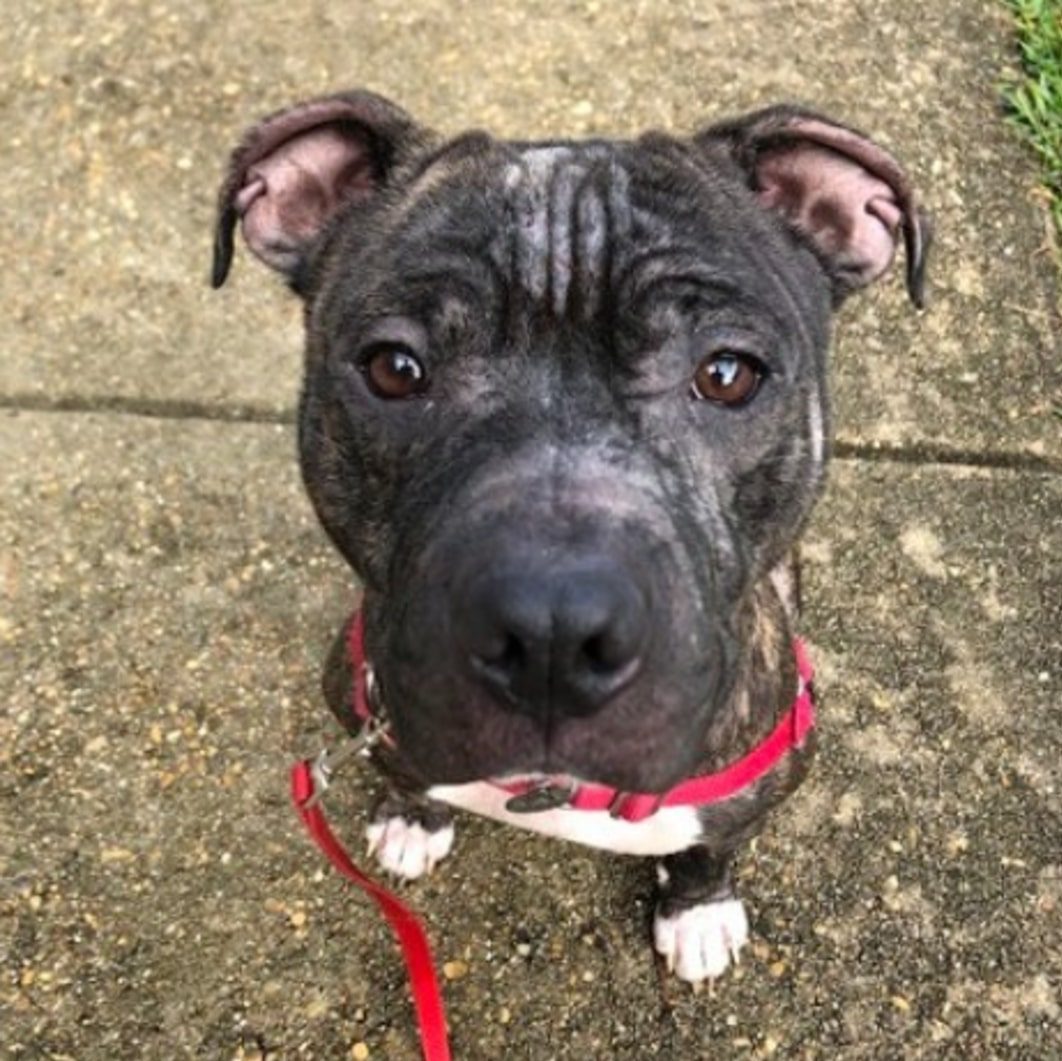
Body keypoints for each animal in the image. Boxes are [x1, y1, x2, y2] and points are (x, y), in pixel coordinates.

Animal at [211, 91, 926, 985]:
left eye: (728, 374)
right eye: (394, 368)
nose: (551, 631)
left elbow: (712, 847)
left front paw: (697, 909)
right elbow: (405, 773)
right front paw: (412, 815)